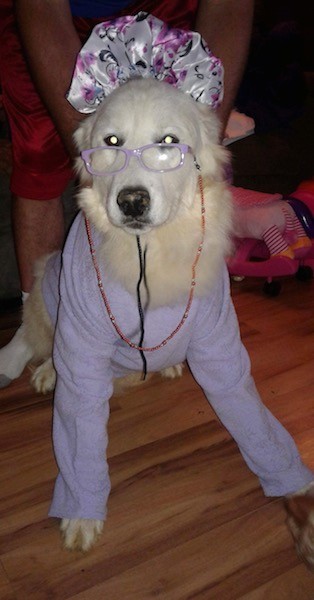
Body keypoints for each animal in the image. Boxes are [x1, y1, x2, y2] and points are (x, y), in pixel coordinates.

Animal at [3, 77, 314, 560]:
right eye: (112, 142)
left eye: (167, 142)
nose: (132, 201)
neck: (148, 256)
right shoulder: (83, 346)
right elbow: (80, 437)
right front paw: (82, 515)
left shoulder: (221, 346)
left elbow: (252, 418)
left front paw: (296, 491)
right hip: (52, 281)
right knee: (34, 330)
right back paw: (32, 368)